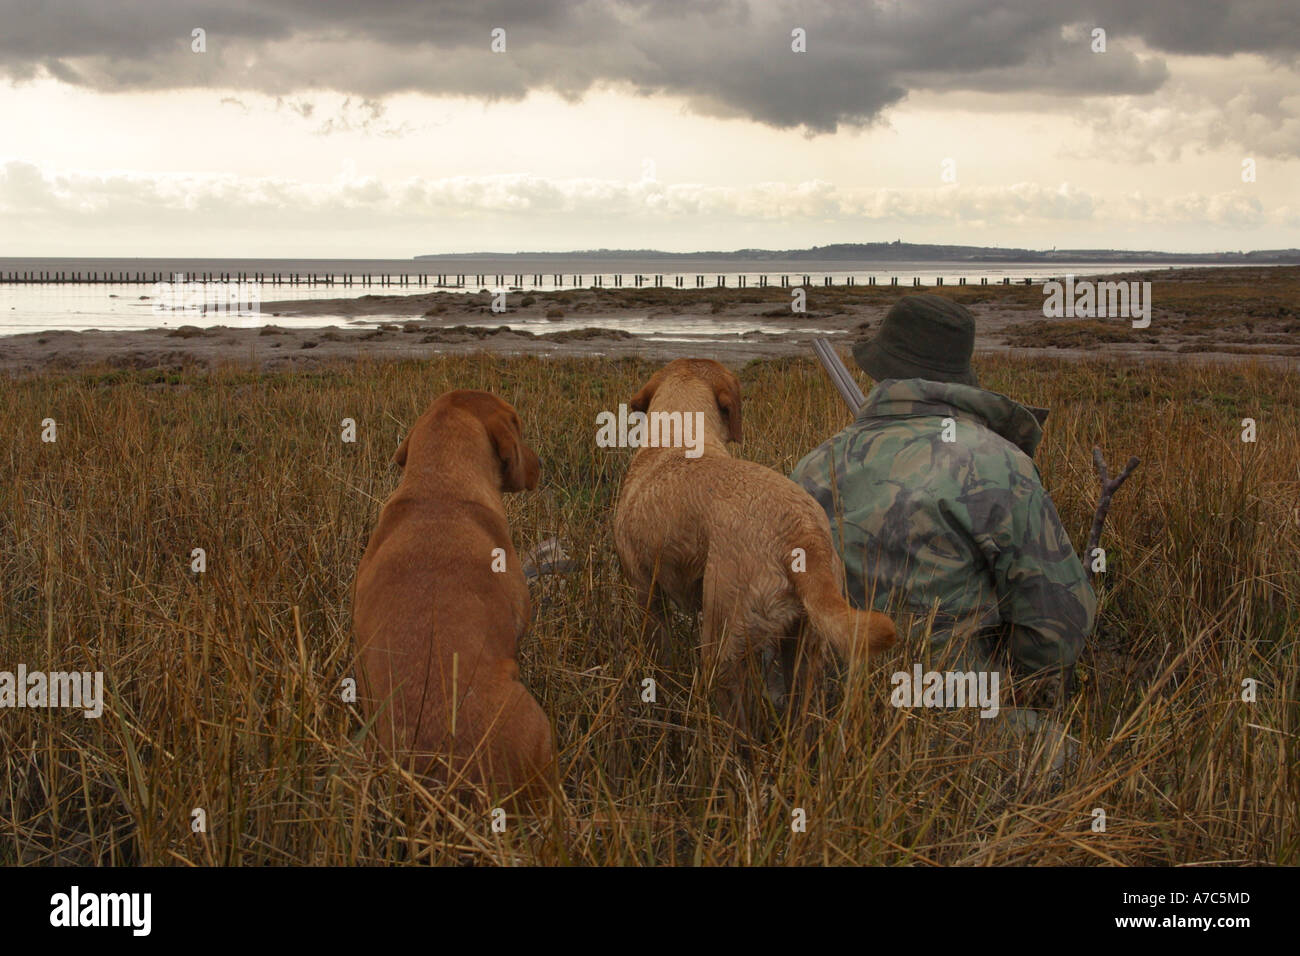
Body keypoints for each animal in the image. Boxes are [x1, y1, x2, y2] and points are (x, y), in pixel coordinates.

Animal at [608, 361, 894, 733]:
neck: (680, 436)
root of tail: (800, 533)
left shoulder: (646, 592)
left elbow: (661, 662)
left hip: (723, 647)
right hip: (805, 648)